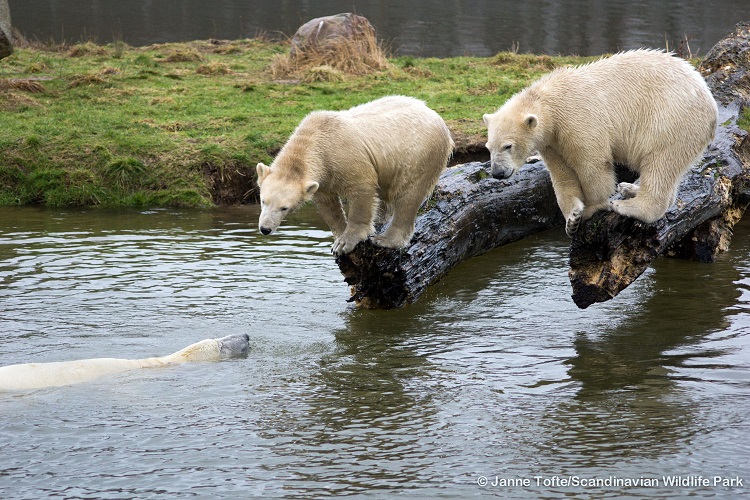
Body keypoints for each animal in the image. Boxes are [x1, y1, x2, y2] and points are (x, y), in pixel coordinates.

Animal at [256, 96, 456, 256]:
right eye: (263, 201)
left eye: (284, 208)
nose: (265, 229)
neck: (316, 140)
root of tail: (435, 114)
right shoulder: (323, 177)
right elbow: (328, 204)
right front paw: (338, 238)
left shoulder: (346, 157)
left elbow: (362, 191)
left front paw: (346, 242)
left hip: (420, 154)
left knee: (408, 195)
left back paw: (385, 239)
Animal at [484, 49, 720, 237]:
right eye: (488, 148)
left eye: (508, 146)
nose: (498, 173)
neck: (548, 102)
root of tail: (711, 105)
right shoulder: (552, 142)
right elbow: (562, 176)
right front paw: (572, 220)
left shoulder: (577, 119)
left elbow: (593, 164)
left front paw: (592, 208)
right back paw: (629, 188)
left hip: (670, 121)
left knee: (660, 163)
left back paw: (626, 205)